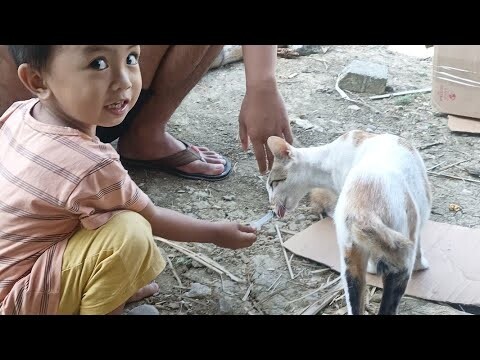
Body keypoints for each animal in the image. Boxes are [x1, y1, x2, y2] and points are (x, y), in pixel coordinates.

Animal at [266, 130, 432, 316]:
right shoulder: (418, 221)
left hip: (350, 260)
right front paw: (421, 266)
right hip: (400, 255)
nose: (270, 202)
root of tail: (362, 209)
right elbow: (418, 247)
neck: (328, 161)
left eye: (272, 183)